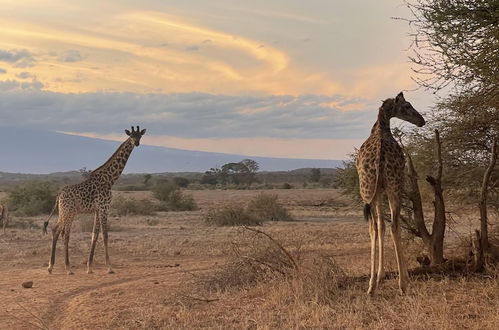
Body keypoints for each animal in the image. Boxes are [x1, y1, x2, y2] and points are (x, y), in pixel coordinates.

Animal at [43, 125, 146, 274]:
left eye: (140, 136)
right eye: (131, 136)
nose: (136, 143)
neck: (109, 179)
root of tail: (59, 195)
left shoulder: (97, 209)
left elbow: (94, 235)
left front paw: (89, 267)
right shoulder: (104, 208)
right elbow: (105, 235)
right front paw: (109, 267)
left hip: (63, 211)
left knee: (56, 230)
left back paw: (51, 266)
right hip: (69, 212)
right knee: (64, 233)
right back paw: (67, 268)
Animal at [356, 92, 426, 294]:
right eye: (408, 105)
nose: (422, 121)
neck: (381, 129)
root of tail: (379, 156)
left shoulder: (377, 191)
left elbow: (380, 226)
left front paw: (379, 277)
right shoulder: (386, 189)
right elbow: (387, 226)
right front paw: (391, 277)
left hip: (367, 190)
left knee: (373, 226)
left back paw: (371, 287)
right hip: (396, 186)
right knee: (395, 226)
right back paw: (403, 284)